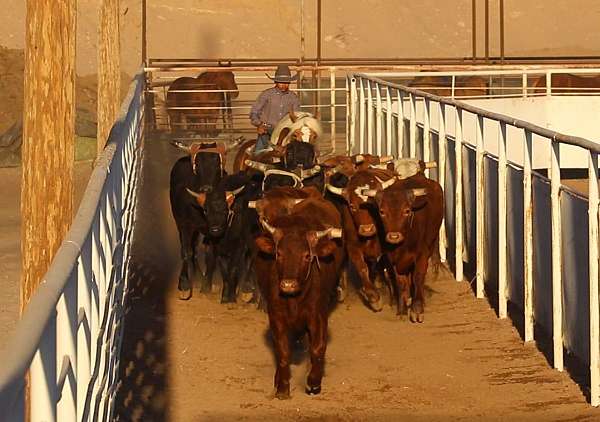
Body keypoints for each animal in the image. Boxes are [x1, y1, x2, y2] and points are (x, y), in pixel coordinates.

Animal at [253, 196, 344, 398]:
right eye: (278, 254)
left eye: (307, 256)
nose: (288, 285)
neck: (294, 300)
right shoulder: (276, 316)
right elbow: (283, 352)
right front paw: (282, 387)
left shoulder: (318, 315)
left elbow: (318, 348)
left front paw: (313, 383)